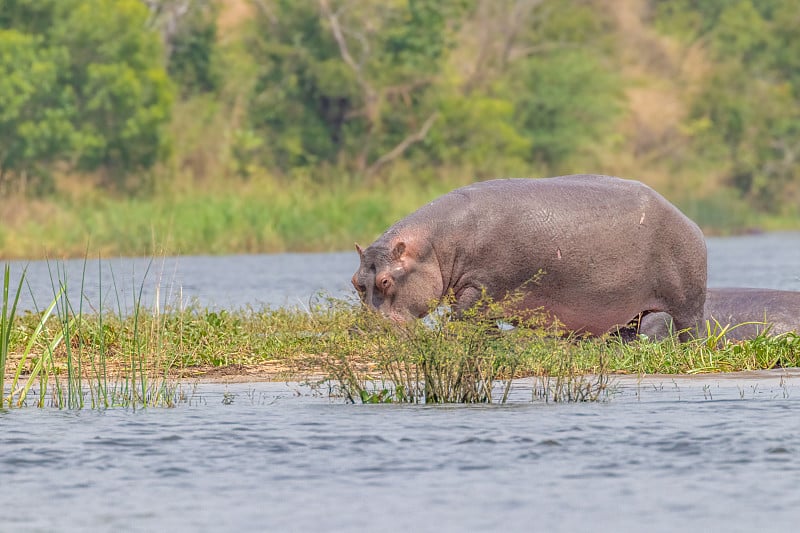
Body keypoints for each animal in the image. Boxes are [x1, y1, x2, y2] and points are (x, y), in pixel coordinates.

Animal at [350, 175, 708, 340]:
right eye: (356, 282)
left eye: (385, 280)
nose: (362, 330)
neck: (435, 244)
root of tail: (690, 221)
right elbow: (480, 323)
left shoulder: (482, 287)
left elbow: (461, 317)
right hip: (627, 309)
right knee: (626, 333)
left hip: (688, 304)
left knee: (691, 331)